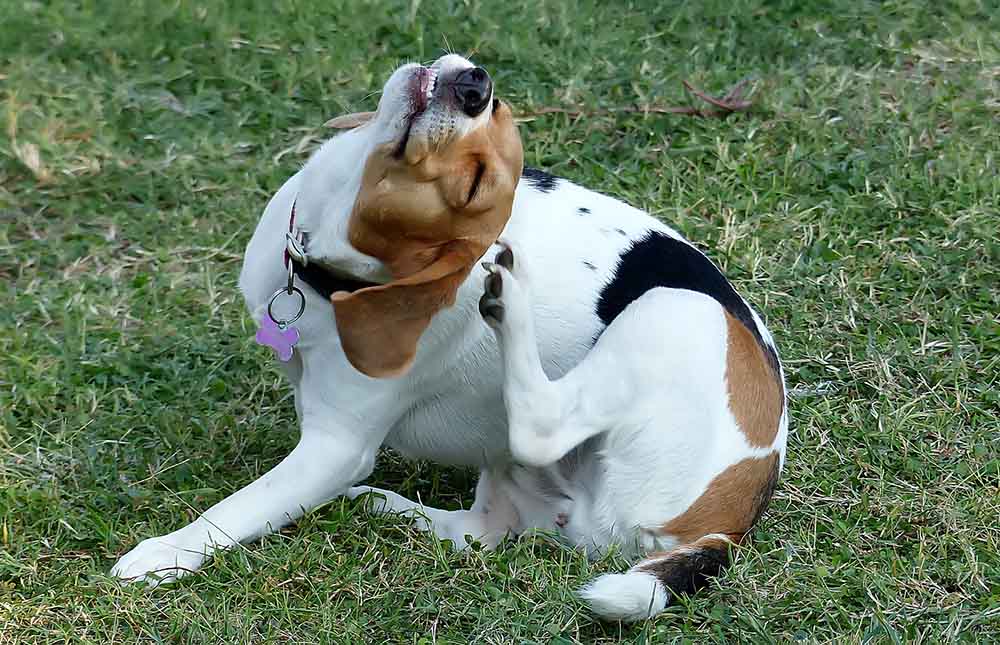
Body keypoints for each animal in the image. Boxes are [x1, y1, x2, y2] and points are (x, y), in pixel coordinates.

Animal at [111, 54, 788, 620]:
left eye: (471, 186)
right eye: (498, 107)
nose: (475, 86)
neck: (325, 272)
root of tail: (727, 525)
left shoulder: (334, 446)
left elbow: (237, 508)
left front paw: (164, 554)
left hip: (675, 309)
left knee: (541, 425)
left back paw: (509, 300)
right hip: (517, 479)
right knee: (479, 533)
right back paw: (380, 504)